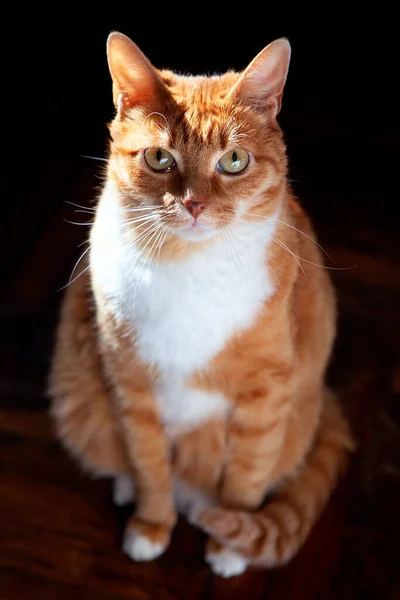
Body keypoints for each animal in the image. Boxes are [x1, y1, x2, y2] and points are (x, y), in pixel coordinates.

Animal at [49, 31, 354, 576]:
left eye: (233, 161)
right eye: (159, 158)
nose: (192, 204)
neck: (189, 268)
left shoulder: (266, 396)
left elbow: (247, 476)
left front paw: (230, 544)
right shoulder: (131, 386)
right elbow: (149, 466)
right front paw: (152, 526)